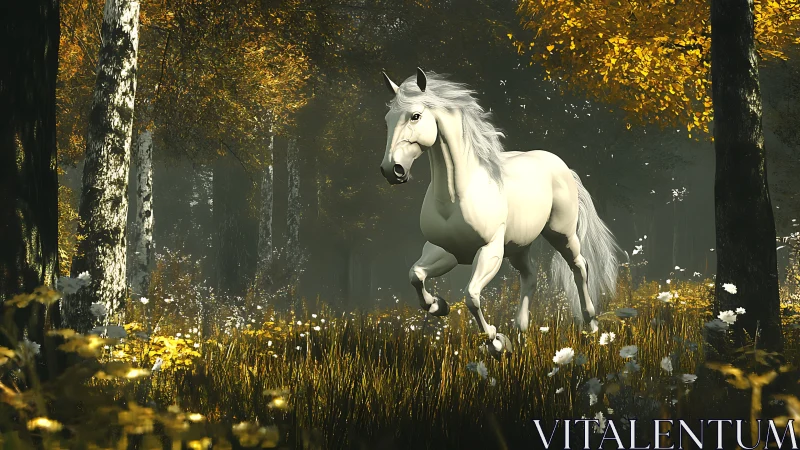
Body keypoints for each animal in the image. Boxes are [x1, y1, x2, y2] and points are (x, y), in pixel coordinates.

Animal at [378, 68, 621, 357]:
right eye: (387, 120)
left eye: (415, 115)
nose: (392, 170)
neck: (455, 197)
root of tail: (561, 166)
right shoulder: (444, 250)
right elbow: (415, 275)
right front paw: (438, 305)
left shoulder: (490, 250)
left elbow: (472, 296)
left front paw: (495, 342)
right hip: (518, 246)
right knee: (530, 276)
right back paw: (521, 329)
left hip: (561, 233)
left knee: (579, 266)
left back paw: (590, 325)